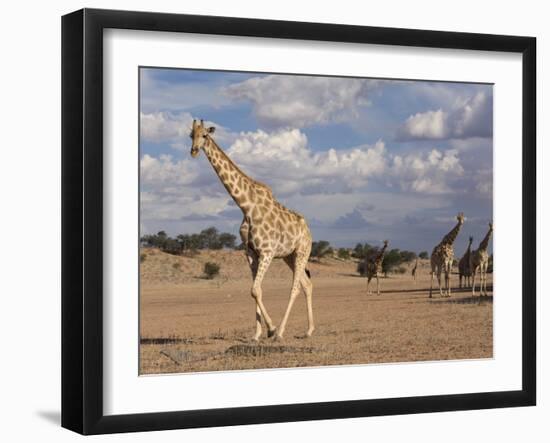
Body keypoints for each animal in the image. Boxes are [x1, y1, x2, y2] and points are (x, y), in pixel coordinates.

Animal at [191, 119, 314, 342]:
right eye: (191, 135)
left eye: (204, 135)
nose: (194, 150)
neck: (246, 207)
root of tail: (308, 230)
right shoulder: (250, 253)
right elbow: (257, 291)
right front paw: (257, 334)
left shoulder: (267, 252)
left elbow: (255, 289)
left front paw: (272, 329)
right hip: (289, 256)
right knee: (307, 285)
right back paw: (309, 330)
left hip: (302, 251)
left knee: (295, 288)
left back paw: (281, 332)